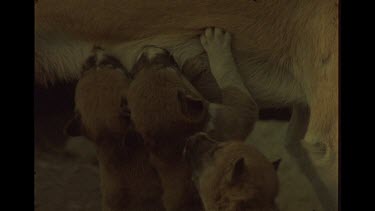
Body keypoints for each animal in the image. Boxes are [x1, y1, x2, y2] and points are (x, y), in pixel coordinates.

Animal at [126, 28, 258, 211]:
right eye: (170, 68)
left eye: (134, 75)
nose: (146, 49)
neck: (176, 141)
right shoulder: (239, 114)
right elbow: (228, 76)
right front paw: (216, 43)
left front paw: (192, 67)